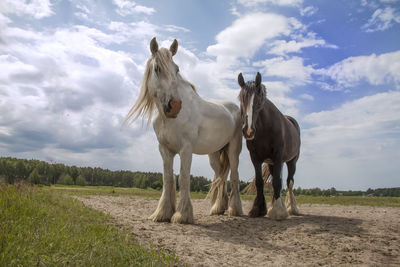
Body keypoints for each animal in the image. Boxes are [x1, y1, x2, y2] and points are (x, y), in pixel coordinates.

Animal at [125, 38, 242, 224]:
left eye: (177, 69)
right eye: (157, 68)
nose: (175, 106)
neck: (169, 119)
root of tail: (235, 108)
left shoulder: (186, 149)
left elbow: (184, 177)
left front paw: (182, 215)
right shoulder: (165, 150)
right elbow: (167, 178)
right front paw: (162, 213)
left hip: (233, 150)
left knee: (234, 176)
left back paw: (234, 210)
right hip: (214, 154)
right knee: (220, 176)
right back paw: (218, 208)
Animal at [238, 72, 300, 221]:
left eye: (259, 100)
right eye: (241, 99)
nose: (248, 130)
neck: (264, 128)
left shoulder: (277, 156)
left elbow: (277, 182)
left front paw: (277, 212)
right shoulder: (255, 158)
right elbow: (260, 182)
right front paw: (258, 210)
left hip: (291, 161)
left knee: (289, 182)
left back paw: (292, 208)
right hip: (272, 163)